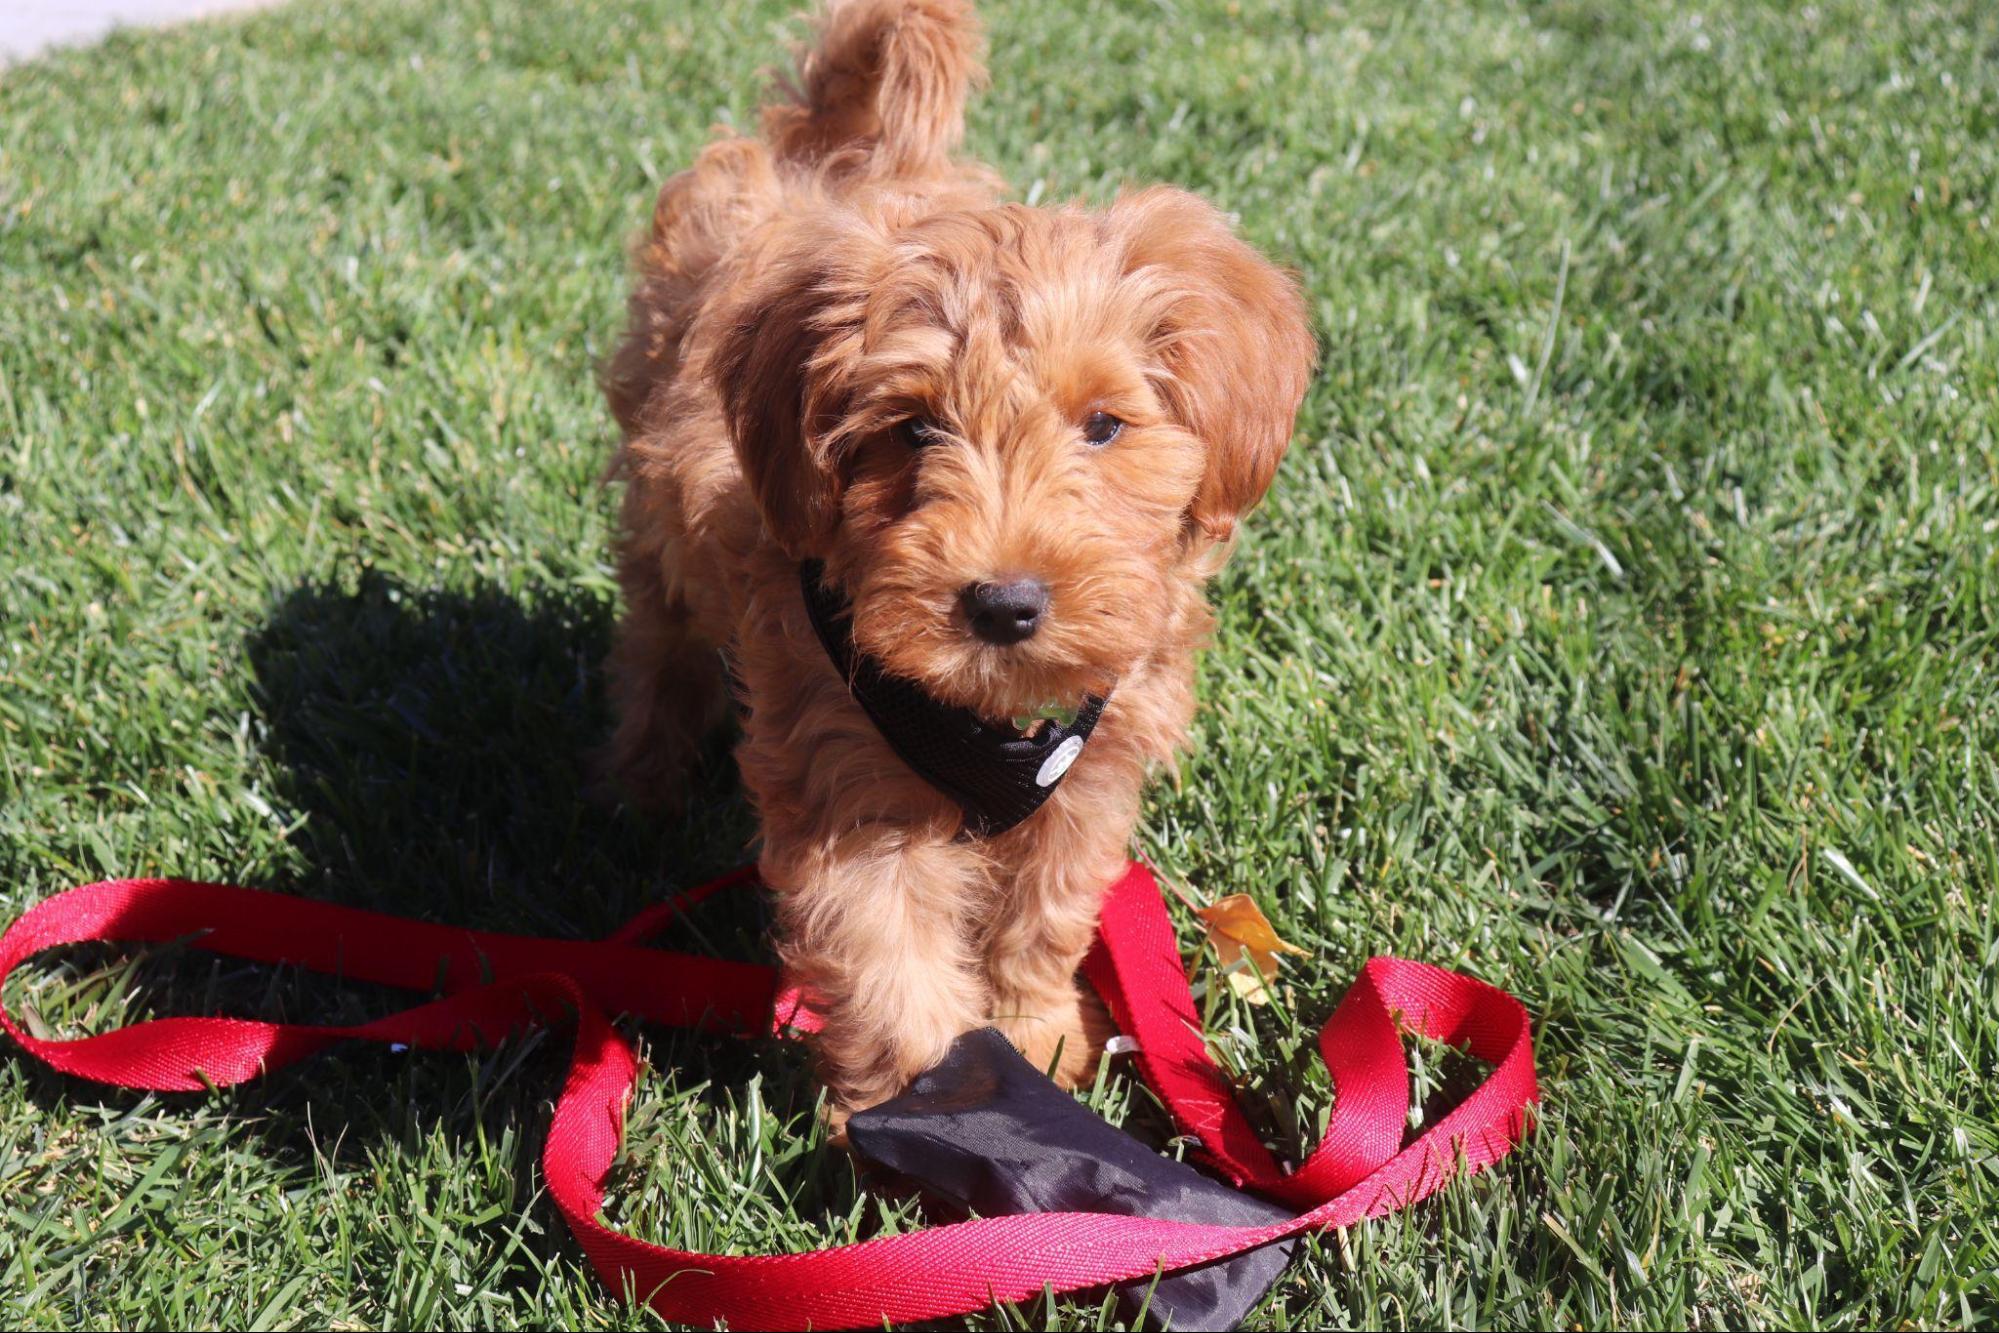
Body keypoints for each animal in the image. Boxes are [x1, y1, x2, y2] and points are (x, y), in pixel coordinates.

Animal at [603, 0, 1327, 1103]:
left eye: (1104, 427)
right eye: (912, 429)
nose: (1004, 605)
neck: (995, 721)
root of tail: (843, 150)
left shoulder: (1088, 781)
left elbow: (1041, 915)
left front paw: (1035, 1040)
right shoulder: (845, 786)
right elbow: (889, 960)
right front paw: (944, 1106)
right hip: (656, 525)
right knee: (658, 643)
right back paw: (641, 783)